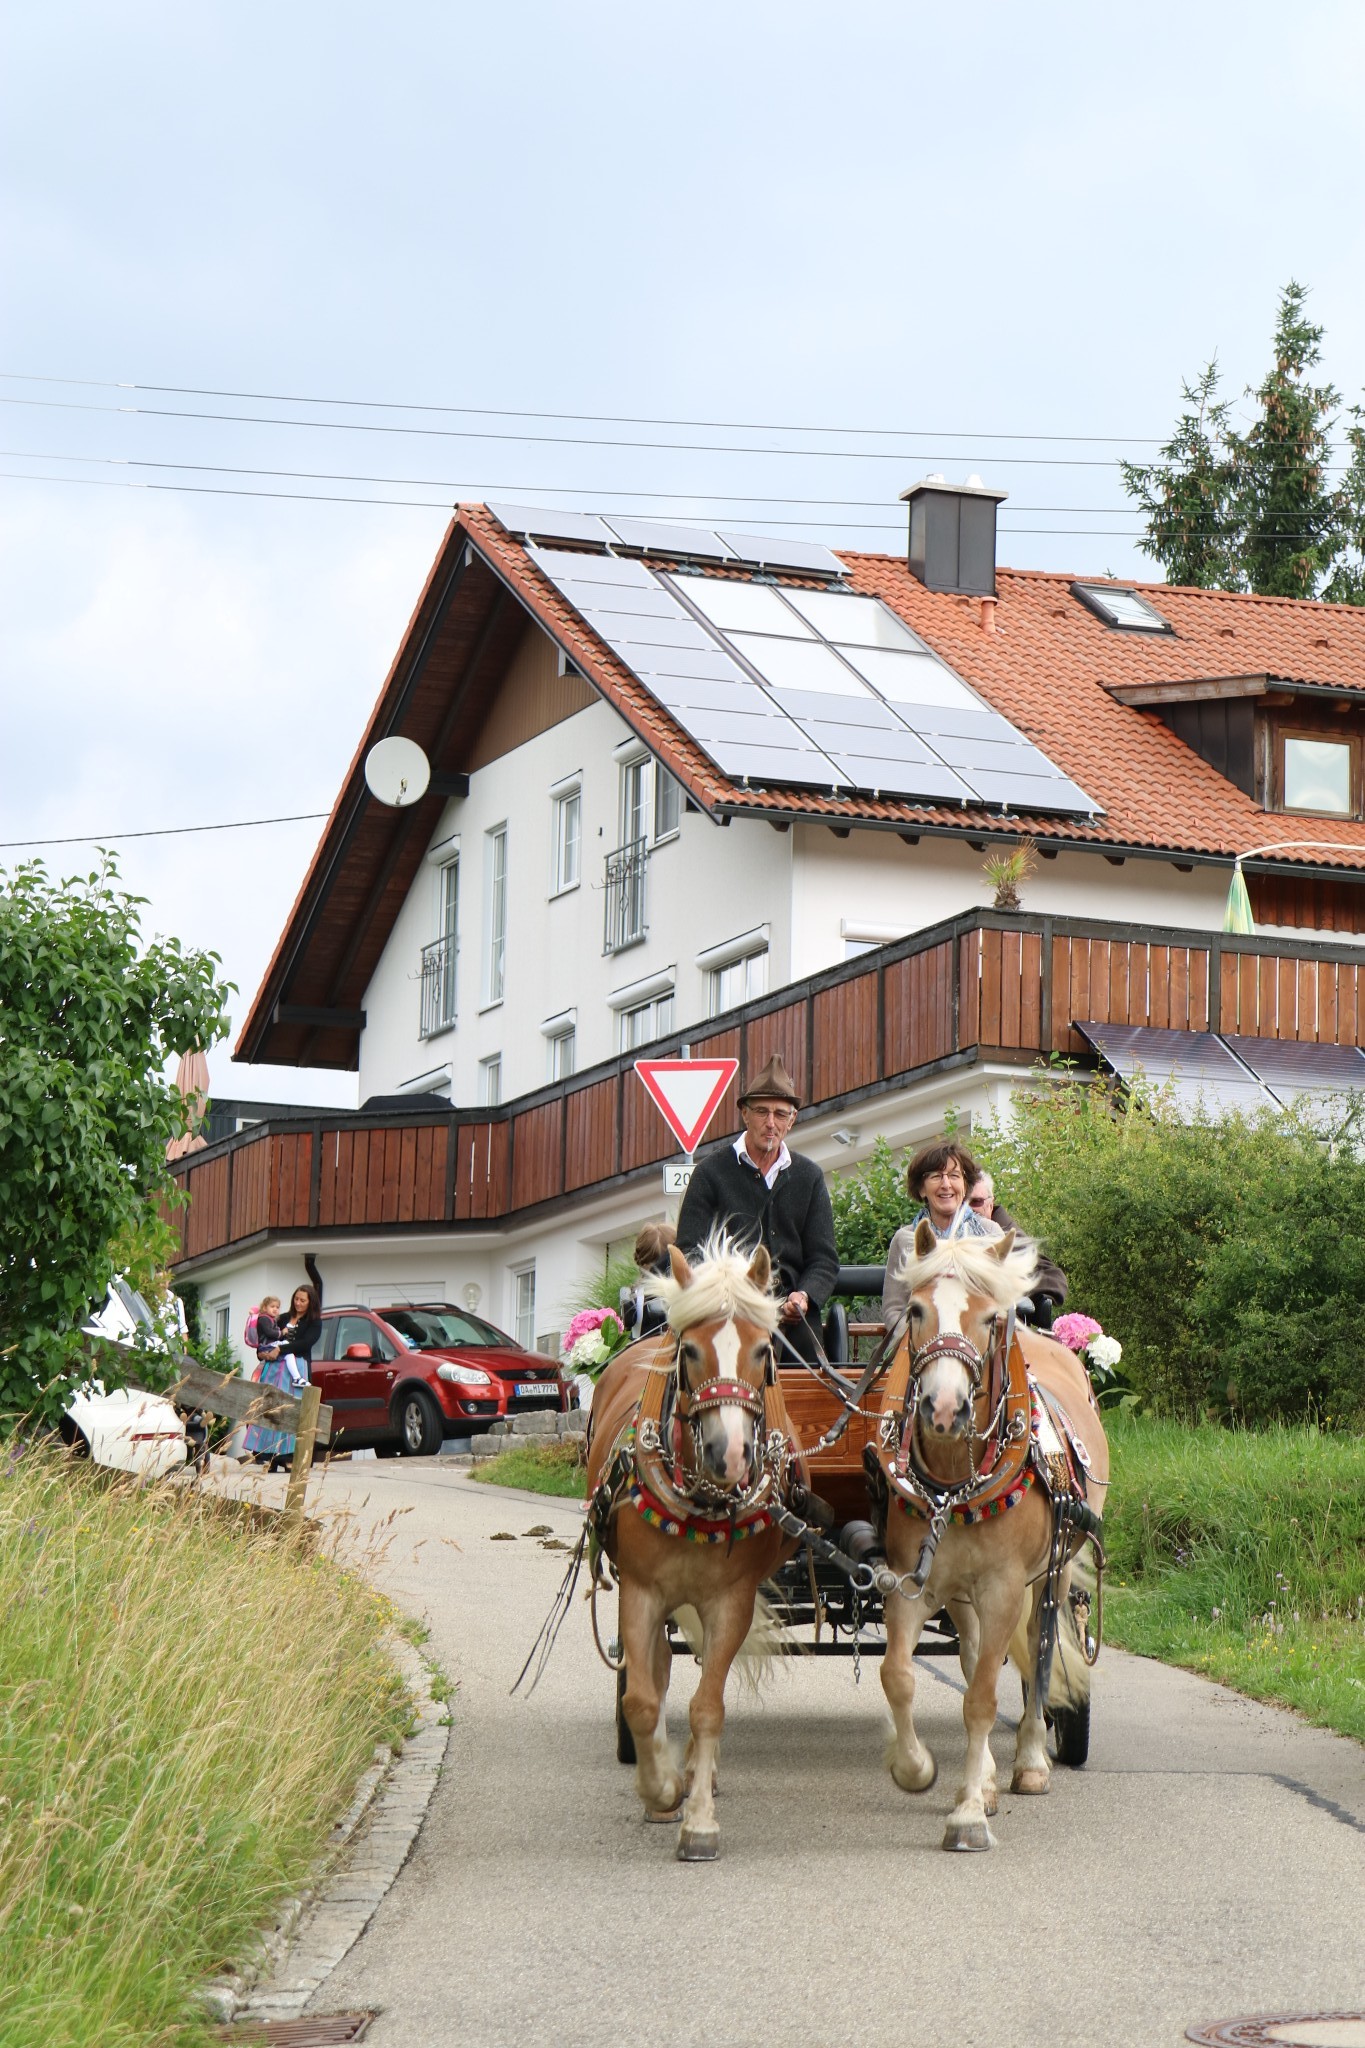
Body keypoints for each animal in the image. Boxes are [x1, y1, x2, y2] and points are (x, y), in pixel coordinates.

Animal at [585, 1236, 802, 1867]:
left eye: (763, 1351)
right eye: (690, 1353)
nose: (728, 1455)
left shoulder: (731, 1600)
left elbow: (708, 1707)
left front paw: (699, 1820)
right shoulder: (640, 1591)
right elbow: (641, 1698)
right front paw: (661, 1790)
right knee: (654, 1672)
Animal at [875, 1220, 1113, 1851]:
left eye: (987, 1318)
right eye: (915, 1310)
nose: (943, 1409)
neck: (954, 1485)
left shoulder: (1007, 1586)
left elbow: (984, 1697)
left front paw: (966, 1817)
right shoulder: (913, 1581)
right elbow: (900, 1676)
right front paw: (918, 1770)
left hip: (1050, 1572)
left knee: (1041, 1651)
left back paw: (1030, 1761)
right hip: (964, 1591)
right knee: (976, 1651)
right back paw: (982, 1776)